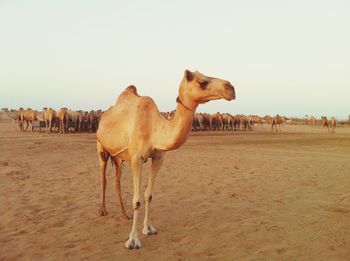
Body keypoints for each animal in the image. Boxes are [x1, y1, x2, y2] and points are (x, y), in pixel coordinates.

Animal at [95, 69, 235, 248]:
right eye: (201, 82)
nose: (231, 88)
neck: (153, 129)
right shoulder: (136, 158)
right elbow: (137, 200)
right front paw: (133, 240)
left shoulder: (158, 157)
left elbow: (149, 195)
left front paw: (148, 228)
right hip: (101, 147)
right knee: (103, 178)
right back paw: (102, 211)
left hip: (118, 156)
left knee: (116, 180)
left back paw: (123, 214)